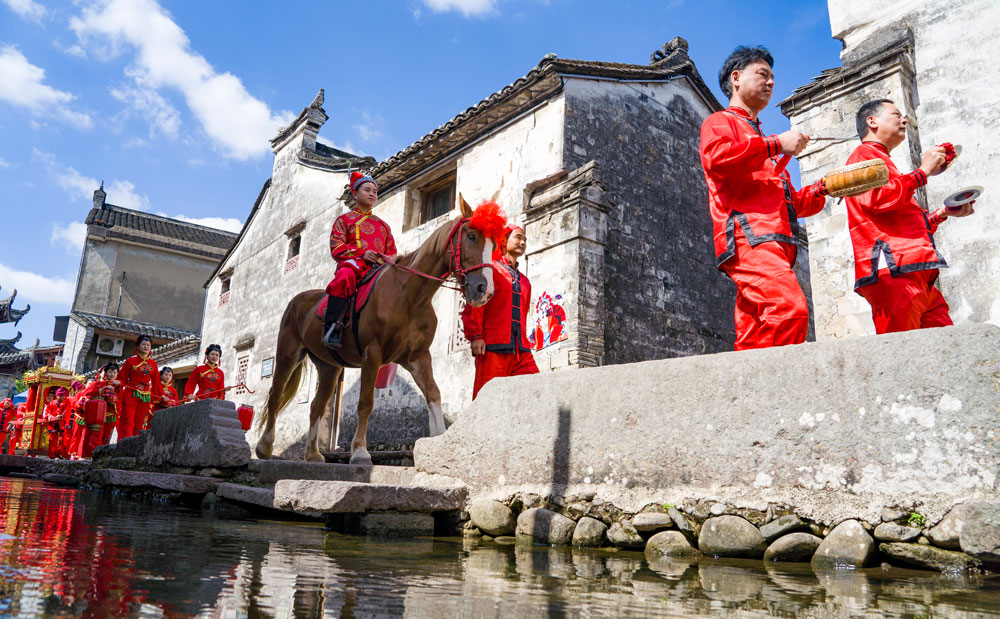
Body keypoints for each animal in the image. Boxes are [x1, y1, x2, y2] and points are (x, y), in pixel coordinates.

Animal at [254, 196, 504, 462]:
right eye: (471, 236)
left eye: (494, 244)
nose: (484, 290)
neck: (410, 296)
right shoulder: (372, 354)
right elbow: (366, 402)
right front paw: (360, 450)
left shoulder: (418, 357)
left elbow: (433, 393)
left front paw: (438, 442)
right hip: (288, 353)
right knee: (275, 396)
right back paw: (264, 447)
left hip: (329, 367)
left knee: (316, 406)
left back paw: (312, 454)